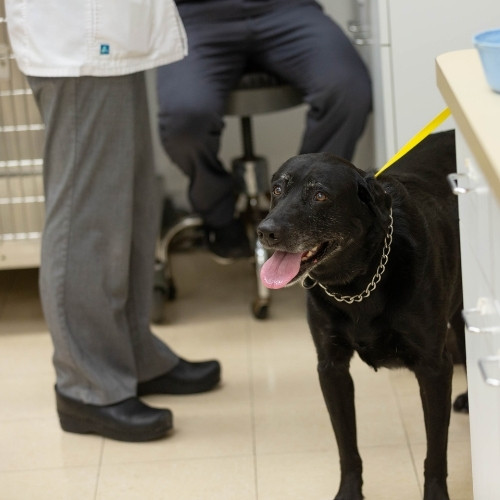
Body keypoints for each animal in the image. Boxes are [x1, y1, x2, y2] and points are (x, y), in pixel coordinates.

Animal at [258, 131, 464, 498]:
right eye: (278, 188)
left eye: (320, 196)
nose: (265, 231)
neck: (358, 283)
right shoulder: (331, 368)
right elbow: (347, 446)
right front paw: (349, 492)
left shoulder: (433, 368)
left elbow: (435, 452)